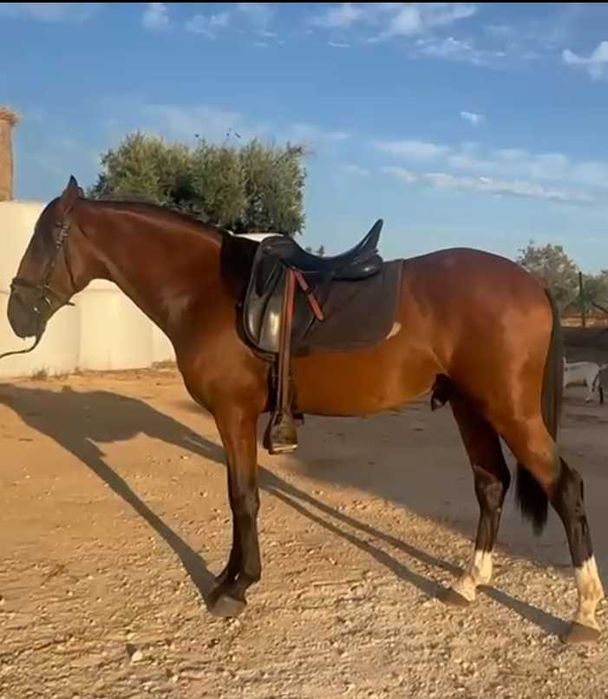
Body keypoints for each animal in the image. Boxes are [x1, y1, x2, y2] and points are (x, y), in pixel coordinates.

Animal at [5, 176, 603, 644]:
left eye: (45, 239)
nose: (16, 314)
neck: (206, 291)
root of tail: (531, 282)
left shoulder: (233, 414)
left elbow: (243, 498)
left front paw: (236, 587)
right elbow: (240, 495)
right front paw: (228, 579)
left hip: (510, 411)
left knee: (567, 486)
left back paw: (584, 614)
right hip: (470, 407)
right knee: (491, 484)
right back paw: (466, 585)